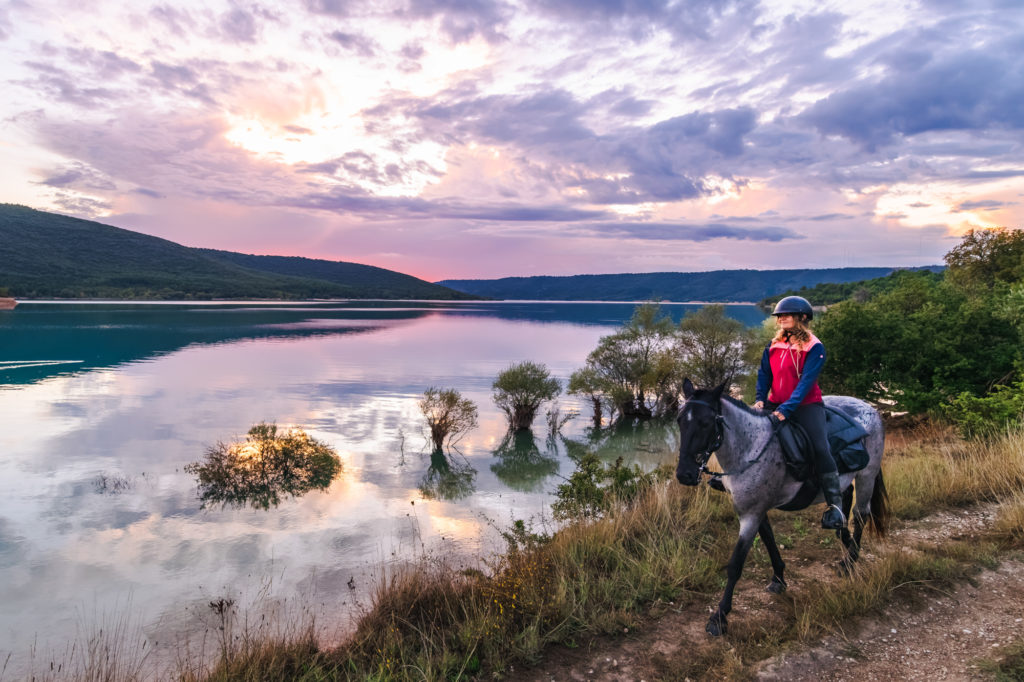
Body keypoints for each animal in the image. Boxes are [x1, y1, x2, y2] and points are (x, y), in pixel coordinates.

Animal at [671, 378, 888, 634]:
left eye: (706, 423)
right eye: (680, 421)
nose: (685, 474)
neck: (750, 448)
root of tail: (870, 408)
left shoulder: (751, 515)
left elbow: (735, 564)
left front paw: (720, 616)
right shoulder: (757, 510)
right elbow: (769, 540)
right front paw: (779, 578)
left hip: (867, 475)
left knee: (861, 514)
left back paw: (850, 561)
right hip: (848, 478)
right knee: (843, 502)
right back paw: (844, 545)